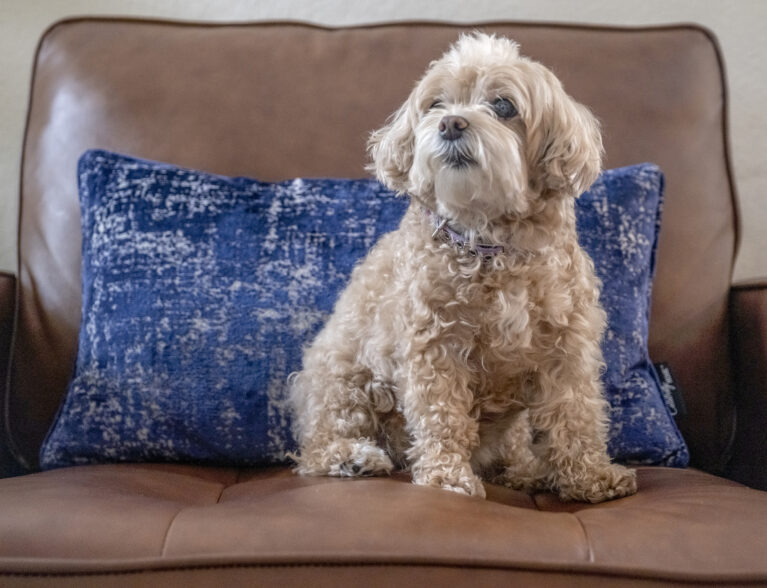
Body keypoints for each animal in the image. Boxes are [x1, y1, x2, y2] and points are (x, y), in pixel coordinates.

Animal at [288, 31, 636, 500]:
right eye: (436, 104)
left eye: (503, 106)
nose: (450, 123)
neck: (490, 244)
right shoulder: (435, 346)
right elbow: (442, 416)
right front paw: (446, 477)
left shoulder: (567, 346)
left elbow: (576, 414)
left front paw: (592, 477)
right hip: (345, 379)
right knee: (318, 446)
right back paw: (354, 458)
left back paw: (522, 470)